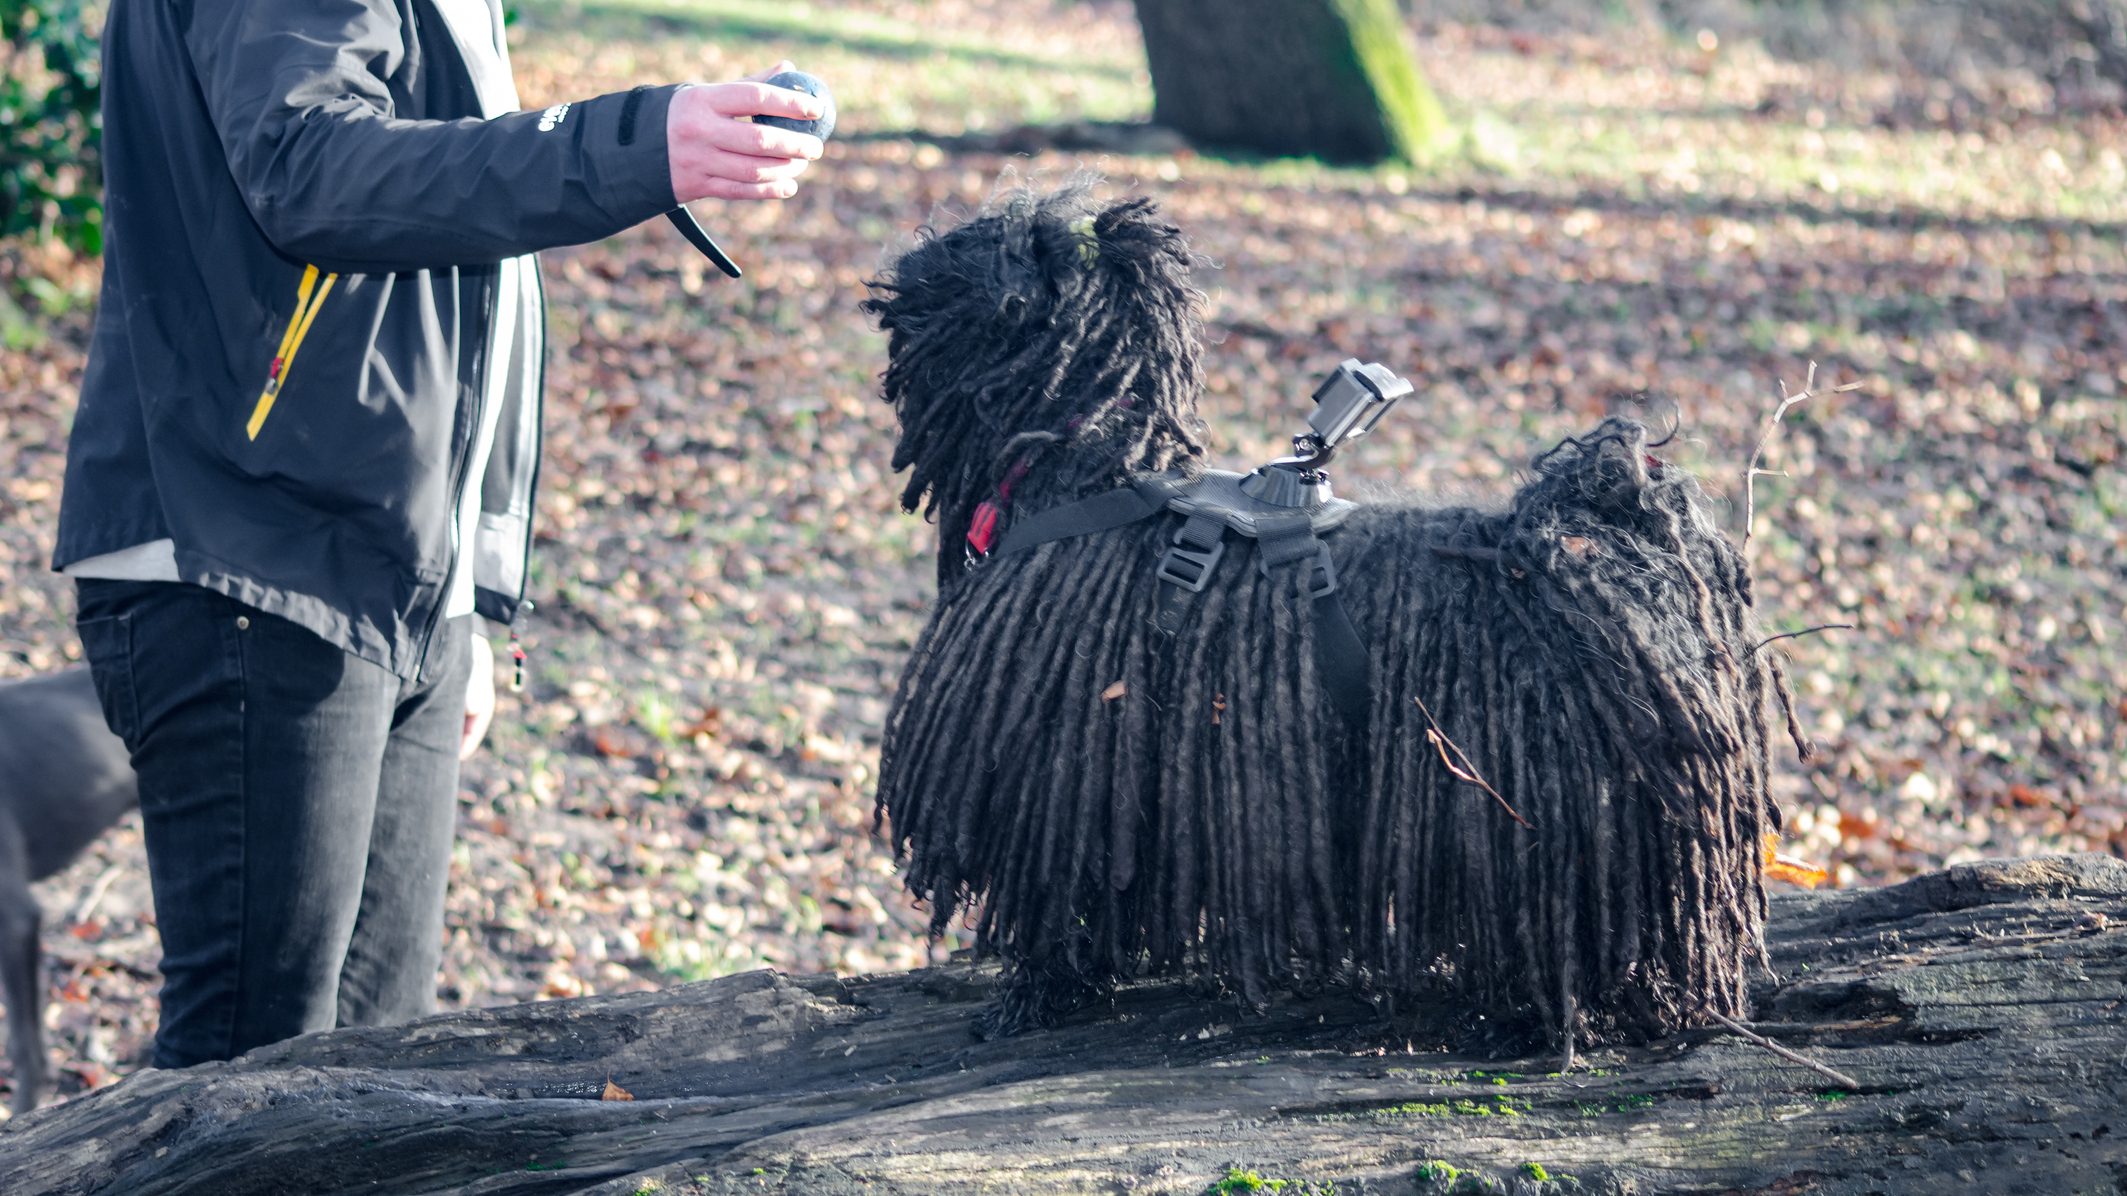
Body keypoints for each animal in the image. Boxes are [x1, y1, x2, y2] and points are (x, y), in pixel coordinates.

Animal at [859, 184, 1795, 1042]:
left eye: (978, 245)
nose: (902, 264)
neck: (1085, 472)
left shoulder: (1066, 771)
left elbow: (1057, 901)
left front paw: (1036, 992)